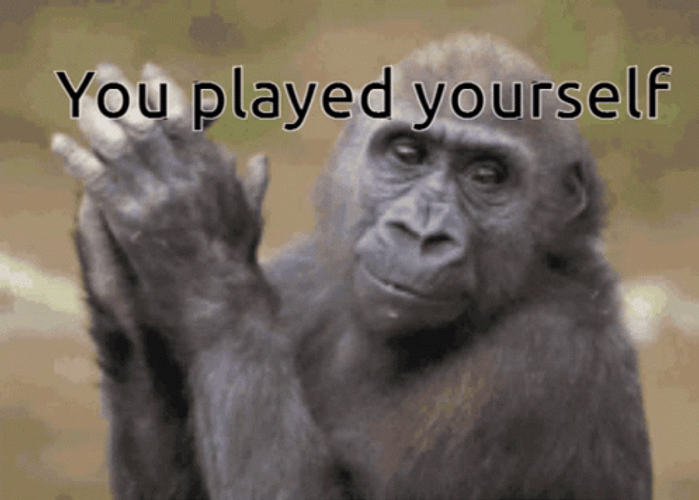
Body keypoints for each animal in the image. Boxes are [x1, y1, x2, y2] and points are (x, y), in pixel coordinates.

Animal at [52, 33, 652, 500]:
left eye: (487, 176)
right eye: (407, 153)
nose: (421, 234)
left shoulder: (549, 357)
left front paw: (192, 235)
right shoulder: (302, 275)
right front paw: (118, 283)